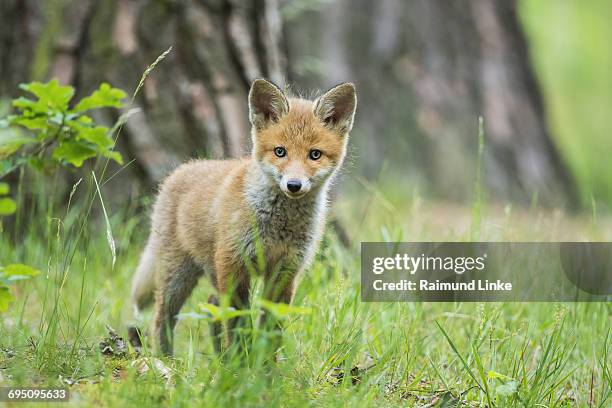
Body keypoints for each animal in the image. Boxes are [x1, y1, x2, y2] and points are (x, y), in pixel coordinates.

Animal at [131, 79, 356, 354]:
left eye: (315, 154)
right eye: (280, 151)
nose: (293, 185)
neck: (279, 227)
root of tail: (180, 170)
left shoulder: (285, 271)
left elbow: (271, 328)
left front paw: (264, 364)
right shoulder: (234, 265)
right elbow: (238, 322)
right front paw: (242, 360)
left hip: (208, 272)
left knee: (211, 307)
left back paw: (219, 358)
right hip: (178, 276)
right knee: (162, 318)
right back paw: (166, 360)